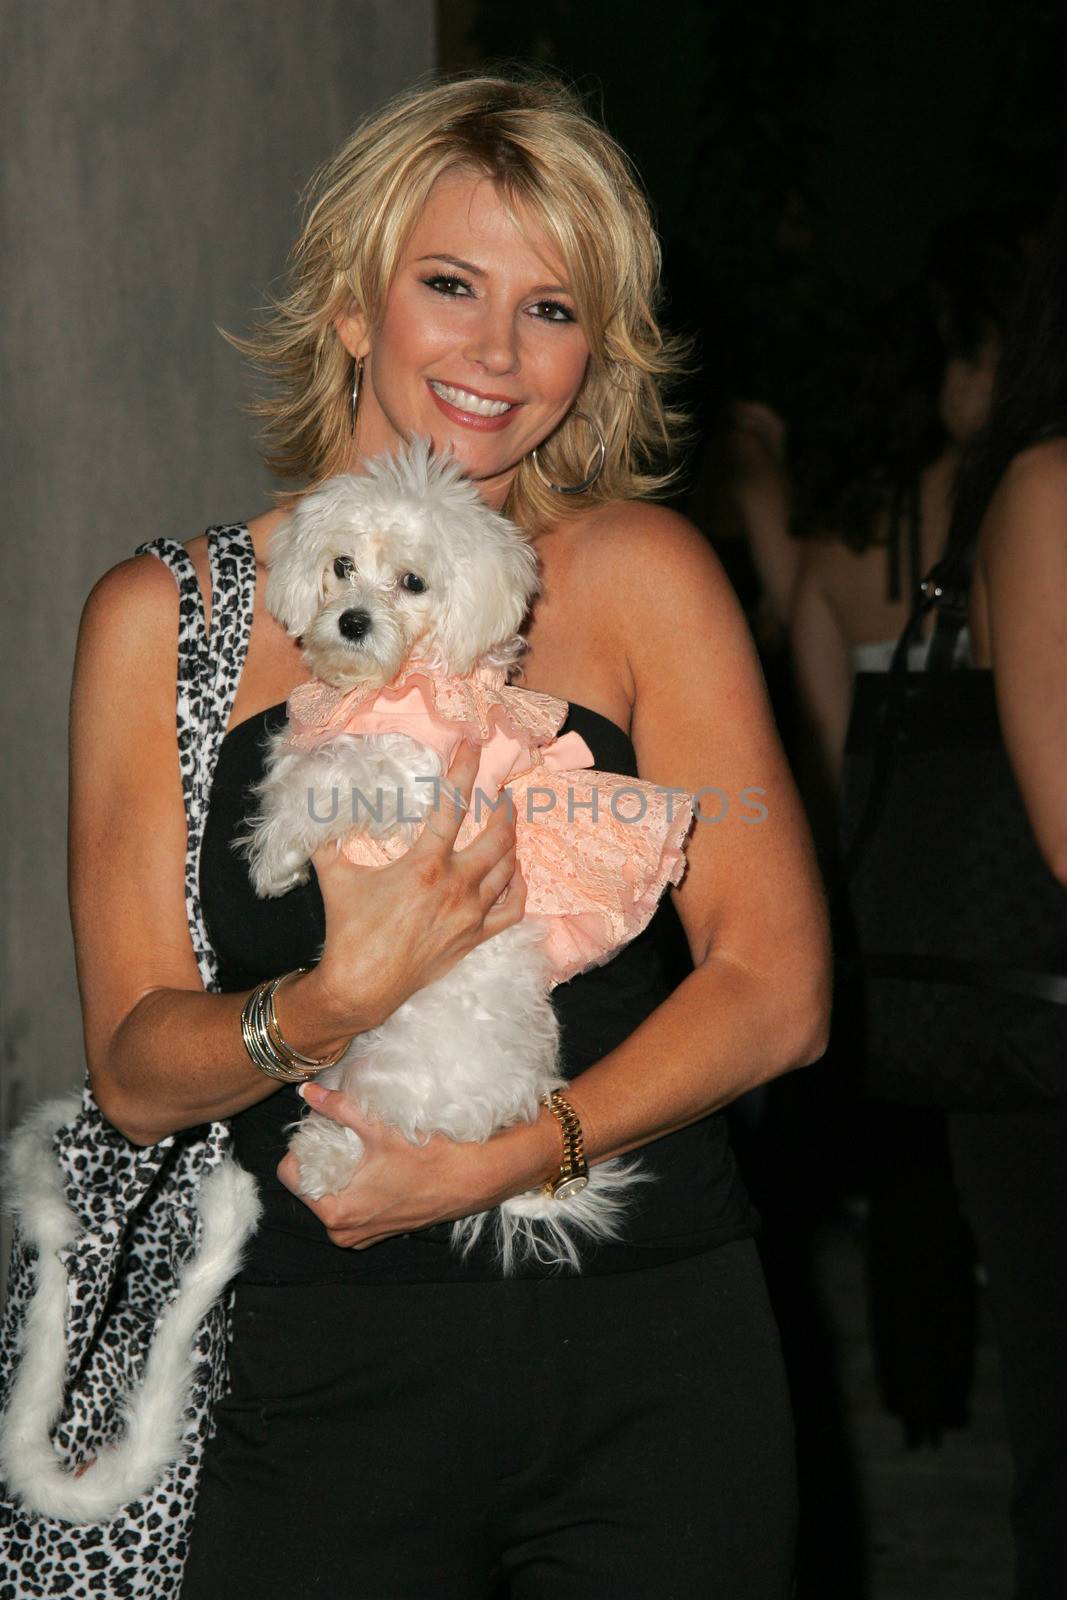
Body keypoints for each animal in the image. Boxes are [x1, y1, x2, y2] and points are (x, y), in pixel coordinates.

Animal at [241, 441, 646, 1273]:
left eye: (413, 583)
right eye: (340, 566)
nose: (353, 620)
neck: (399, 685)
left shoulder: (420, 781)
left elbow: (338, 770)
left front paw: (274, 854)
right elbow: (300, 764)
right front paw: (279, 855)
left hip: (388, 1078)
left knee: (374, 1131)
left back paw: (325, 1158)